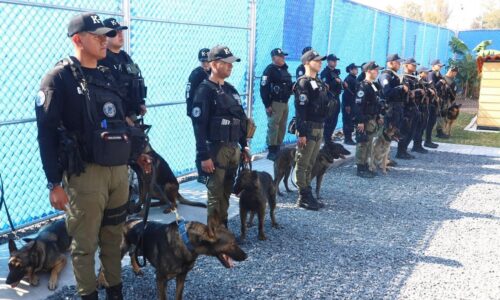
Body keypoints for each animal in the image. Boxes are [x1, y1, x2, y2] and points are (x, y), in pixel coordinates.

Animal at [119, 218, 248, 300]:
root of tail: (127, 221)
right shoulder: (161, 279)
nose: (246, 256)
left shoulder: (181, 276)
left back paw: (137, 270)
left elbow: (178, 296)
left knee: (132, 254)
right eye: (232, 244)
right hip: (123, 249)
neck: (187, 243)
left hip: (139, 248)